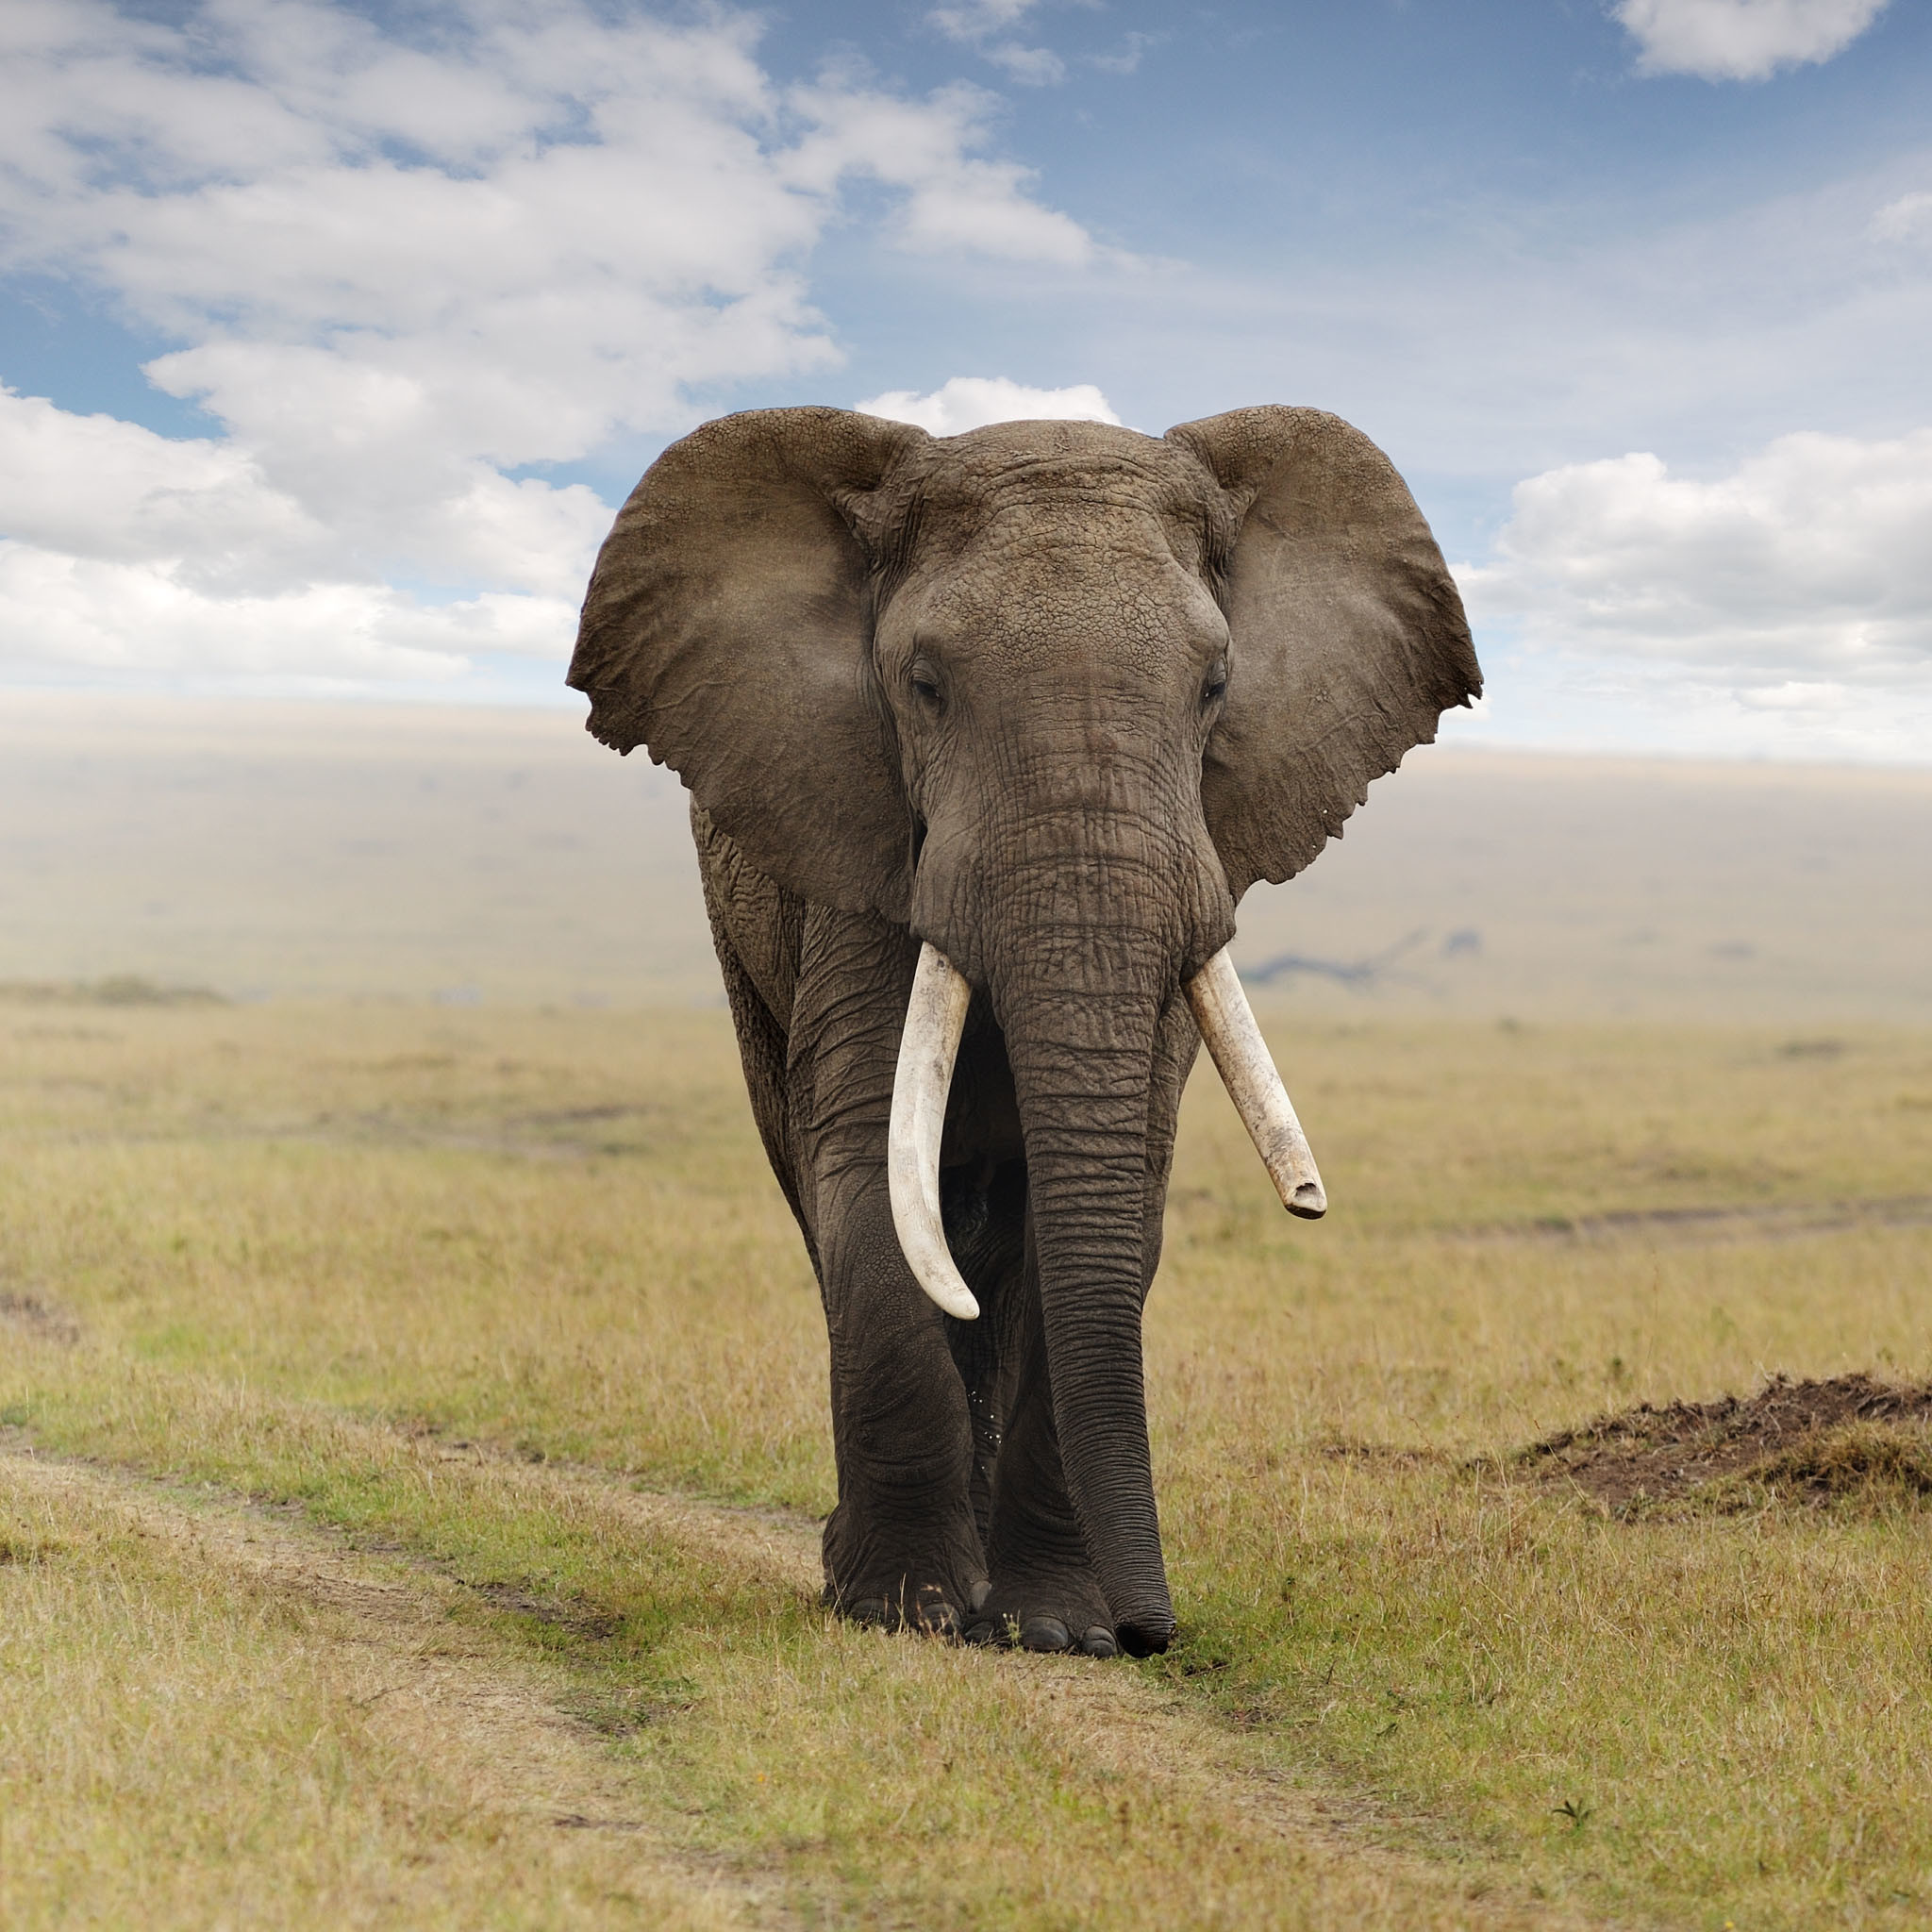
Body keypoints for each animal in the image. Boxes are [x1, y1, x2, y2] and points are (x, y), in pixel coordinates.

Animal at [568, 405, 1479, 1658]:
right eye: (923, 683)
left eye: (1215, 684)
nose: (1155, 1633)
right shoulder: (861, 846)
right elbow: (868, 1168)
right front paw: (900, 1610)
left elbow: (1110, 1197)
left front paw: (1055, 1628)